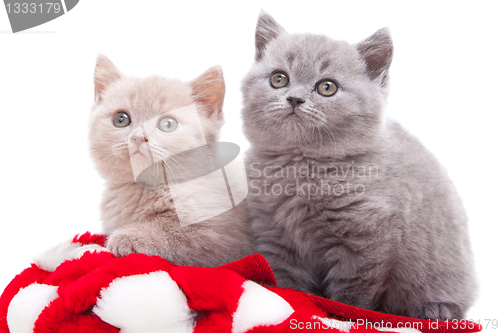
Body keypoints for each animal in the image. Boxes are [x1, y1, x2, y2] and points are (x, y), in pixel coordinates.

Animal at [242, 12, 476, 320]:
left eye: (327, 87)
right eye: (279, 79)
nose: (294, 99)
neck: (301, 164)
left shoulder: (364, 238)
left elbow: (352, 291)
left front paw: (341, 315)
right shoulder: (276, 236)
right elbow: (287, 285)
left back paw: (435, 310)